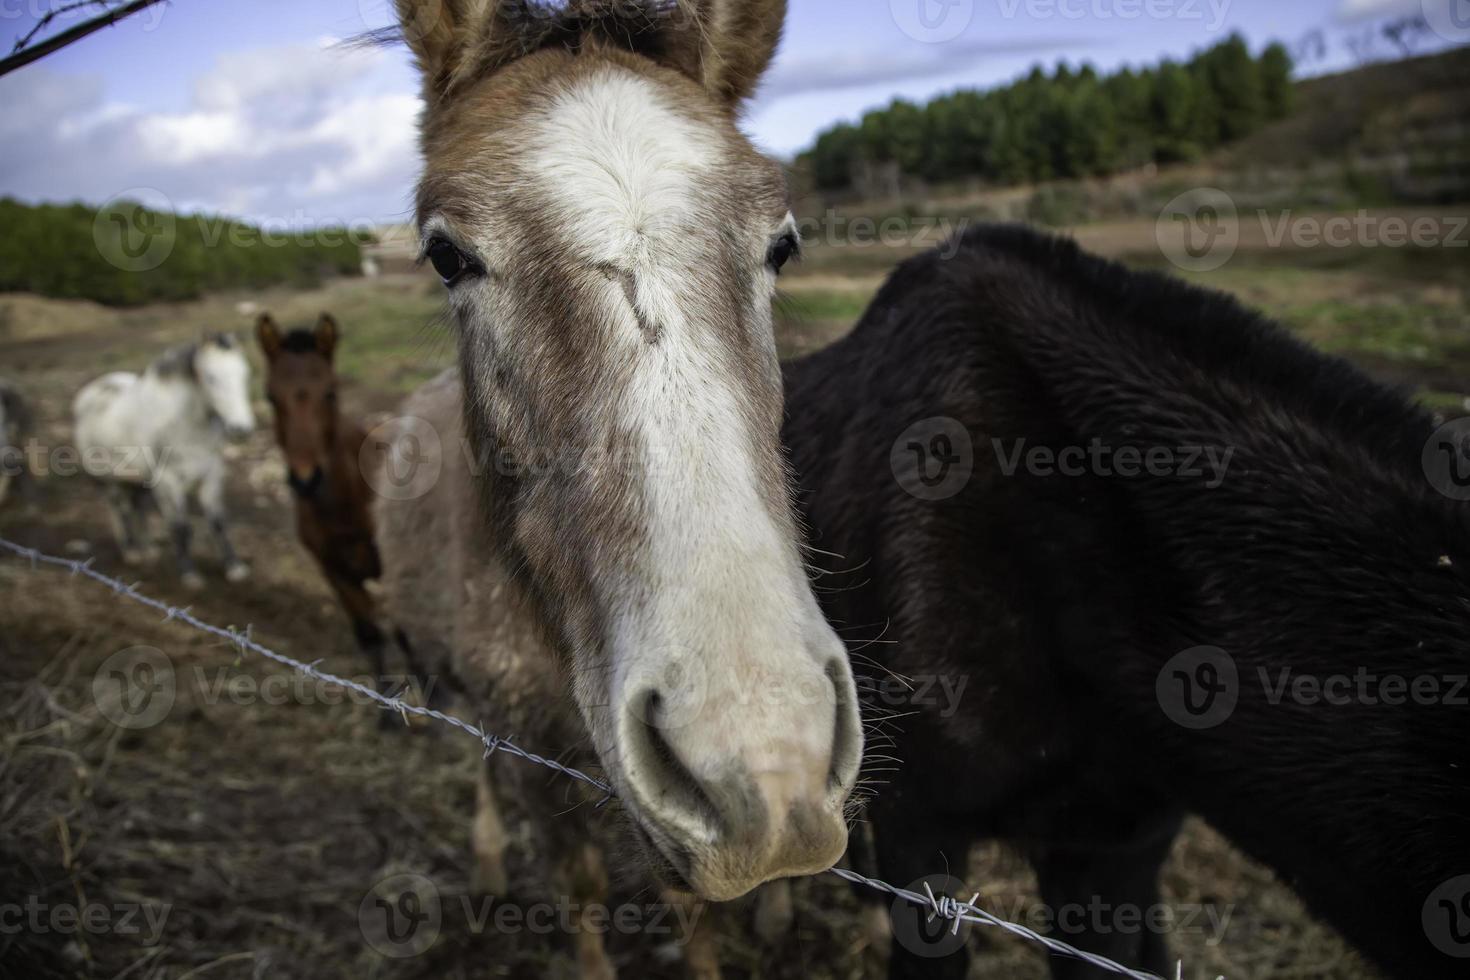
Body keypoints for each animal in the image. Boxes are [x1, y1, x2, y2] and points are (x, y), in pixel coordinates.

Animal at [74, 333, 257, 587]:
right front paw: (189, 574)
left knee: (136, 506)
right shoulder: (169, 481)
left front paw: (234, 567)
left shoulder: (212, 473)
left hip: (137, 479)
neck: (185, 424)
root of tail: (88, 394)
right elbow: (180, 527)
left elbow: (218, 522)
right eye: (211, 378)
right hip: (106, 479)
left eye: (245, 375)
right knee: (118, 508)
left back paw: (148, 549)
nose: (241, 429)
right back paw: (131, 551)